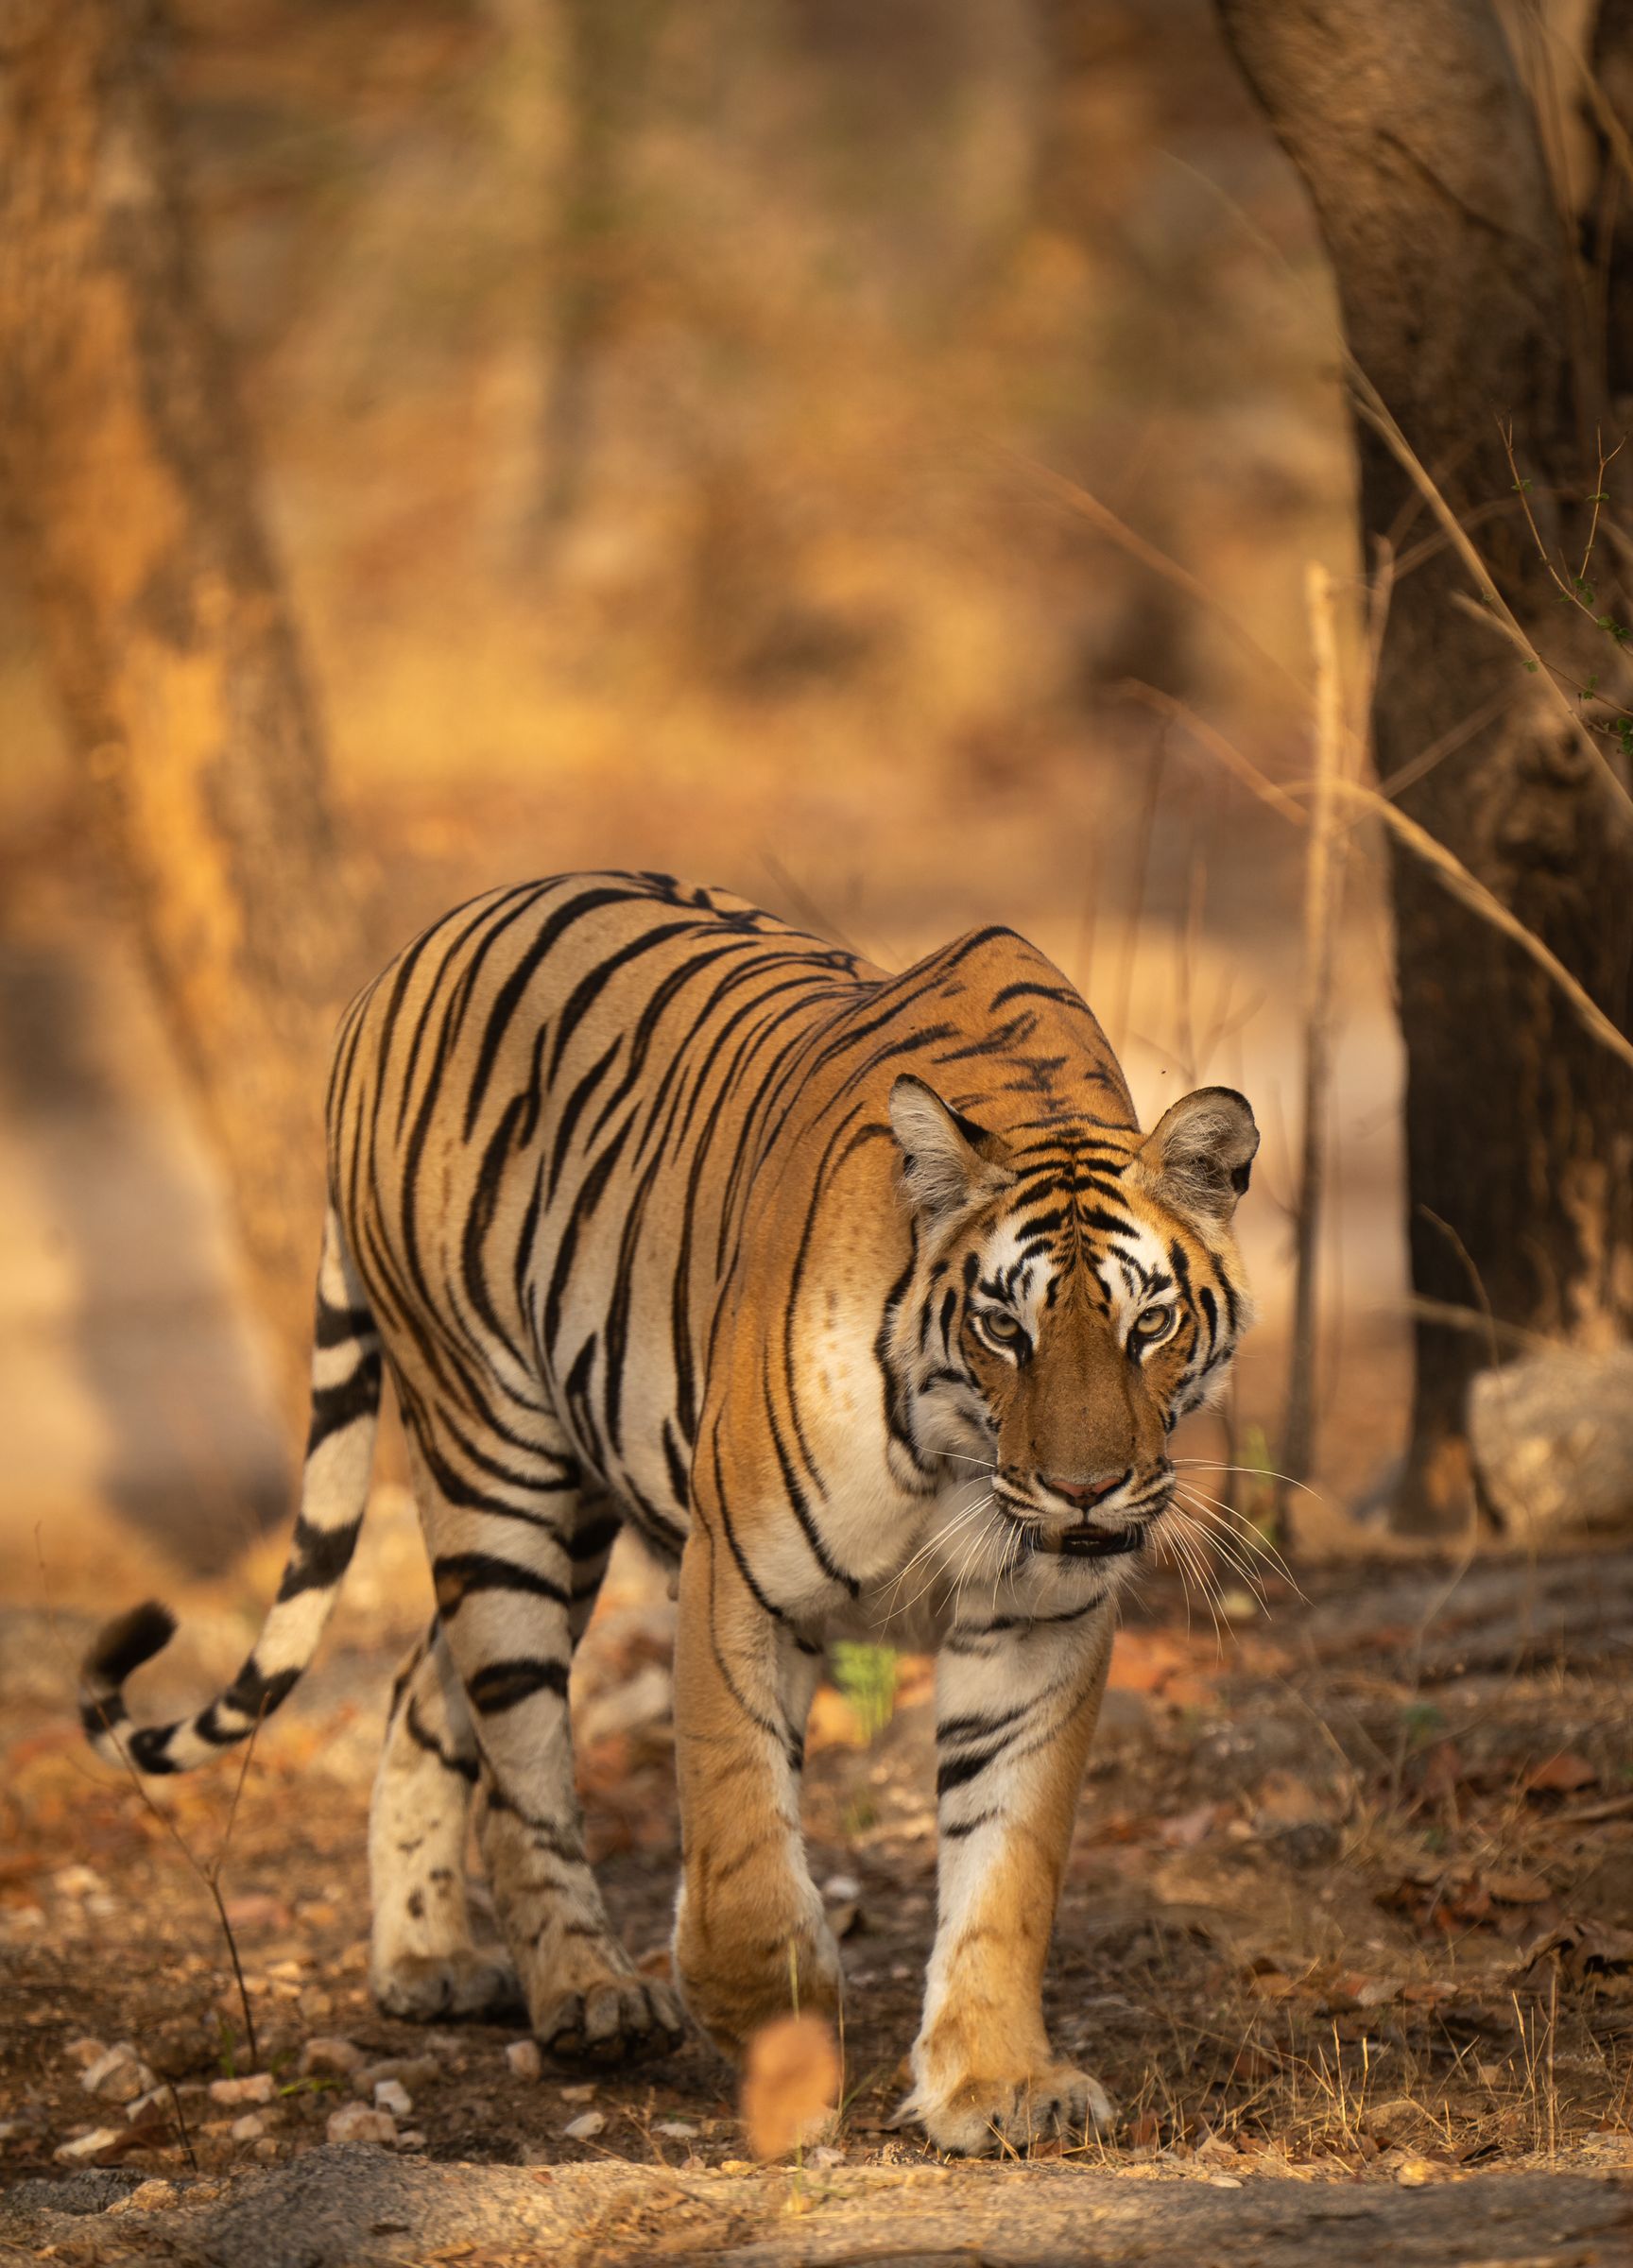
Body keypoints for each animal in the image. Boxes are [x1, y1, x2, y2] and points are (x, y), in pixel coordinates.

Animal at [81, 871, 1258, 2155]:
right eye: (1006, 1328)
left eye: (1151, 1324)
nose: (1086, 1488)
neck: (964, 1460)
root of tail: (396, 965)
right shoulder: (740, 1574)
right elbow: (741, 1841)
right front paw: (771, 2031)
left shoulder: (1039, 1620)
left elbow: (1008, 1862)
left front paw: (997, 2084)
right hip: (495, 1464)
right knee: (521, 1760)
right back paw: (592, 1995)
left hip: (565, 1515)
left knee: (421, 1695)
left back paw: (426, 1958)